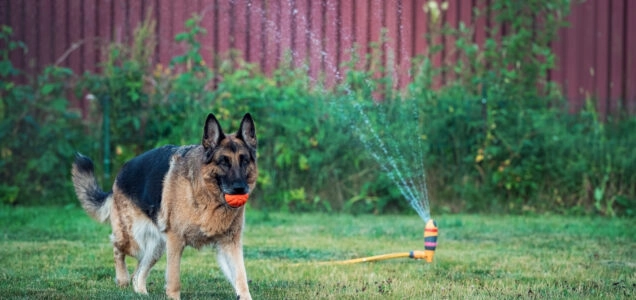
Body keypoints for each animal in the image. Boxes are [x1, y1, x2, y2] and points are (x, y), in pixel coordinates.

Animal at [71, 113, 255, 300]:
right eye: (223, 162)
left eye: (244, 161)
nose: (240, 188)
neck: (207, 196)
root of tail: (121, 173)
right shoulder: (175, 240)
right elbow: (174, 279)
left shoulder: (230, 244)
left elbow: (241, 277)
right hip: (132, 240)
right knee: (117, 247)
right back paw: (122, 278)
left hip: (156, 246)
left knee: (138, 274)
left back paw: (142, 292)